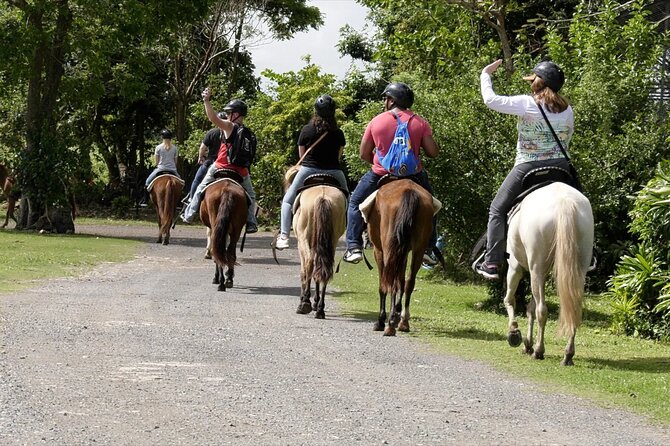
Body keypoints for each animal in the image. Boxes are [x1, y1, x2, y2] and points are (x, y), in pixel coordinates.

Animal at [292, 176, 346, 318]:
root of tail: (323, 196)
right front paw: (316, 303)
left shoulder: (300, 245)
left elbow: (304, 272)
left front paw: (307, 300)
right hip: (332, 241)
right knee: (325, 268)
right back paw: (320, 309)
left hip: (304, 239)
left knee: (310, 264)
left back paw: (304, 304)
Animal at [362, 178, 440, 334]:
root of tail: (409, 192)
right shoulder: (403, 252)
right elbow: (401, 281)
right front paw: (398, 312)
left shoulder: (378, 251)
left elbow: (384, 284)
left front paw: (381, 320)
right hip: (418, 249)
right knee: (409, 282)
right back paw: (403, 321)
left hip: (388, 248)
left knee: (391, 281)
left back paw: (390, 324)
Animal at [506, 182, 596, 366]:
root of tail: (564, 201)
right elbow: (530, 307)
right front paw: (527, 344)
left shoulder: (515, 266)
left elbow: (510, 300)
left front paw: (514, 333)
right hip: (578, 268)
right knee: (573, 308)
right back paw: (568, 355)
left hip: (536, 268)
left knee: (542, 310)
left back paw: (539, 351)